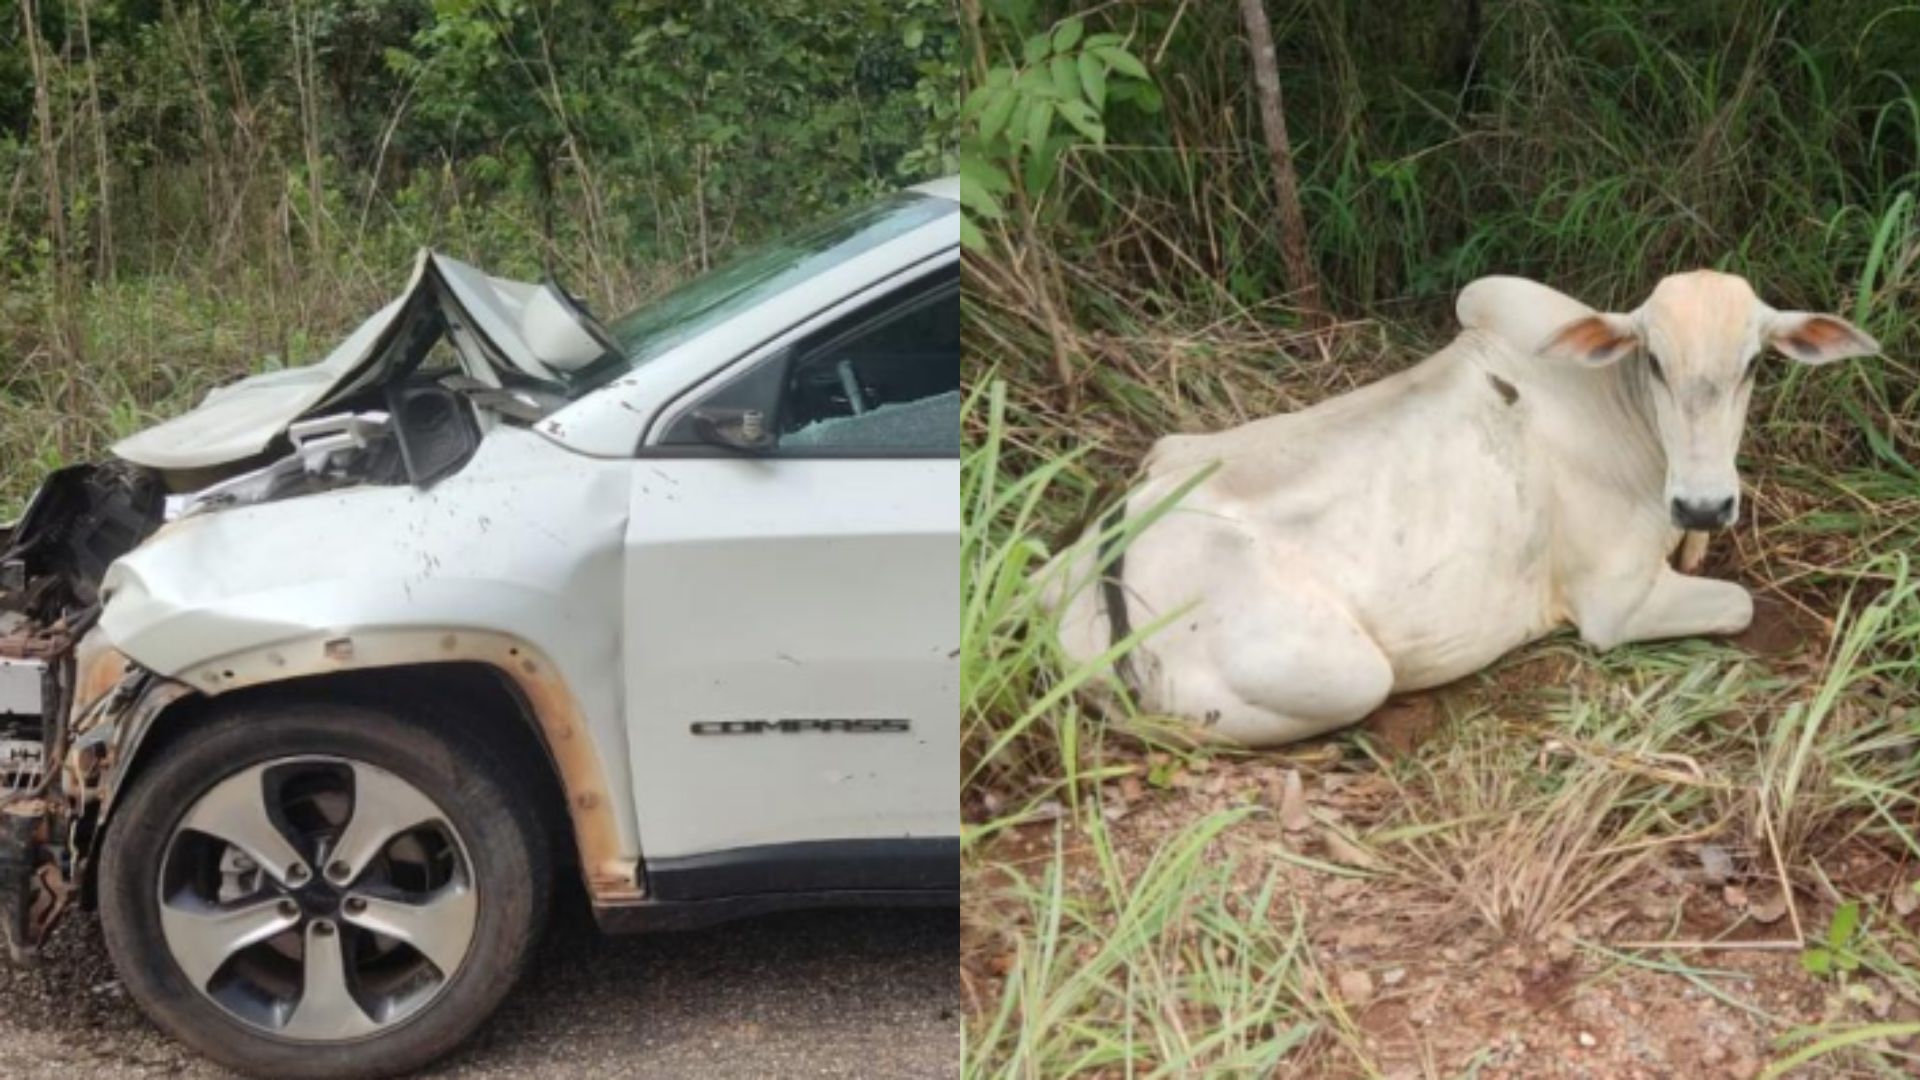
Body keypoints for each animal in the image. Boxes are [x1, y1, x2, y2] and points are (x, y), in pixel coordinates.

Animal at [1052, 269, 1873, 745]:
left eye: (1755, 363)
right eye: (1655, 362)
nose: (1703, 506)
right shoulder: (1614, 606)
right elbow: (1739, 604)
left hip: (1168, 449)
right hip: (1342, 674)